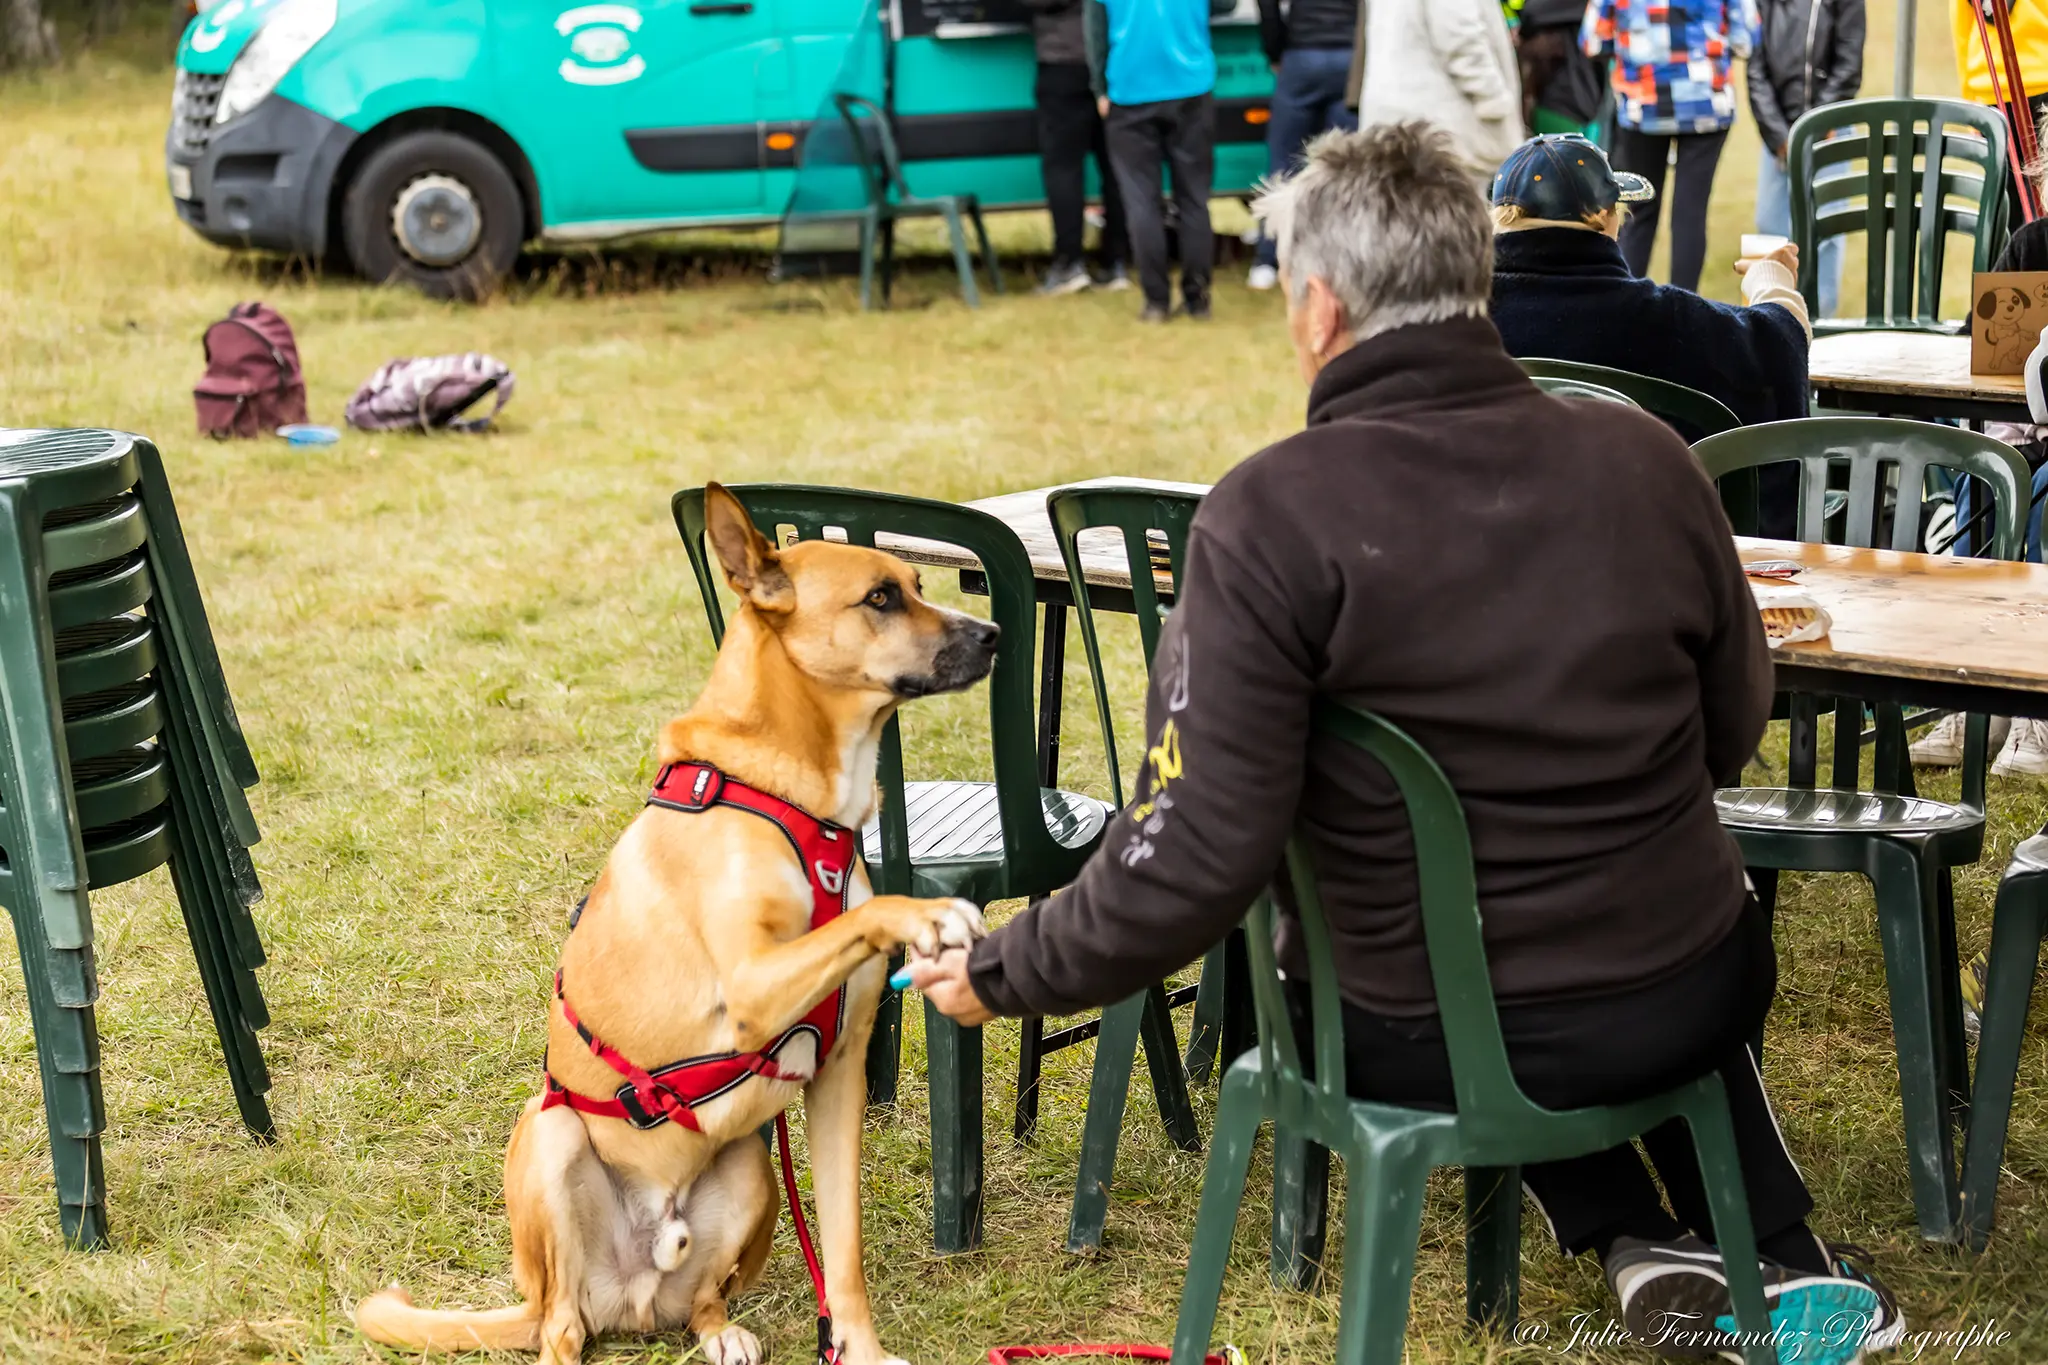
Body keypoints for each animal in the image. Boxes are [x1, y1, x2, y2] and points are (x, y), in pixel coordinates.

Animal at [360, 485, 999, 1358]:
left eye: (916, 583)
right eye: (879, 598)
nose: (994, 635)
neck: (802, 804)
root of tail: (631, 1289)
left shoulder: (838, 1076)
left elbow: (844, 1250)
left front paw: (860, 1350)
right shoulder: (755, 985)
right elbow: (865, 916)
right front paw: (930, 912)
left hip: (749, 1165)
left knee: (700, 1300)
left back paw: (720, 1331)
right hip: (553, 1137)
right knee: (561, 1327)